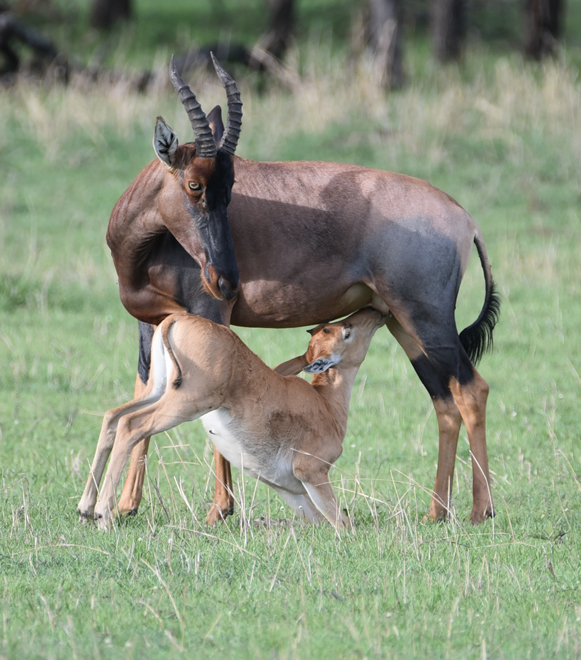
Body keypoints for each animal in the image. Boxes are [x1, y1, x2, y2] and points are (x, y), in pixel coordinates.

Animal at [77, 310, 386, 532]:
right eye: (346, 330)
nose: (376, 311)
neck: (324, 403)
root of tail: (176, 318)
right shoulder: (312, 474)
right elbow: (343, 524)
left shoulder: (290, 489)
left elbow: (319, 522)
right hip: (184, 404)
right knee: (132, 425)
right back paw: (104, 515)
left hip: (156, 391)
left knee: (112, 417)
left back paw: (85, 510)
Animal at [107, 59, 498, 528]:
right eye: (195, 184)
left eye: (231, 187)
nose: (227, 280)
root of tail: (465, 218)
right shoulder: (149, 321)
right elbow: (144, 387)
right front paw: (127, 505)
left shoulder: (209, 310)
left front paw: (220, 510)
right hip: (403, 323)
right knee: (444, 400)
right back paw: (436, 512)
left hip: (428, 318)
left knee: (471, 390)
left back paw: (481, 510)